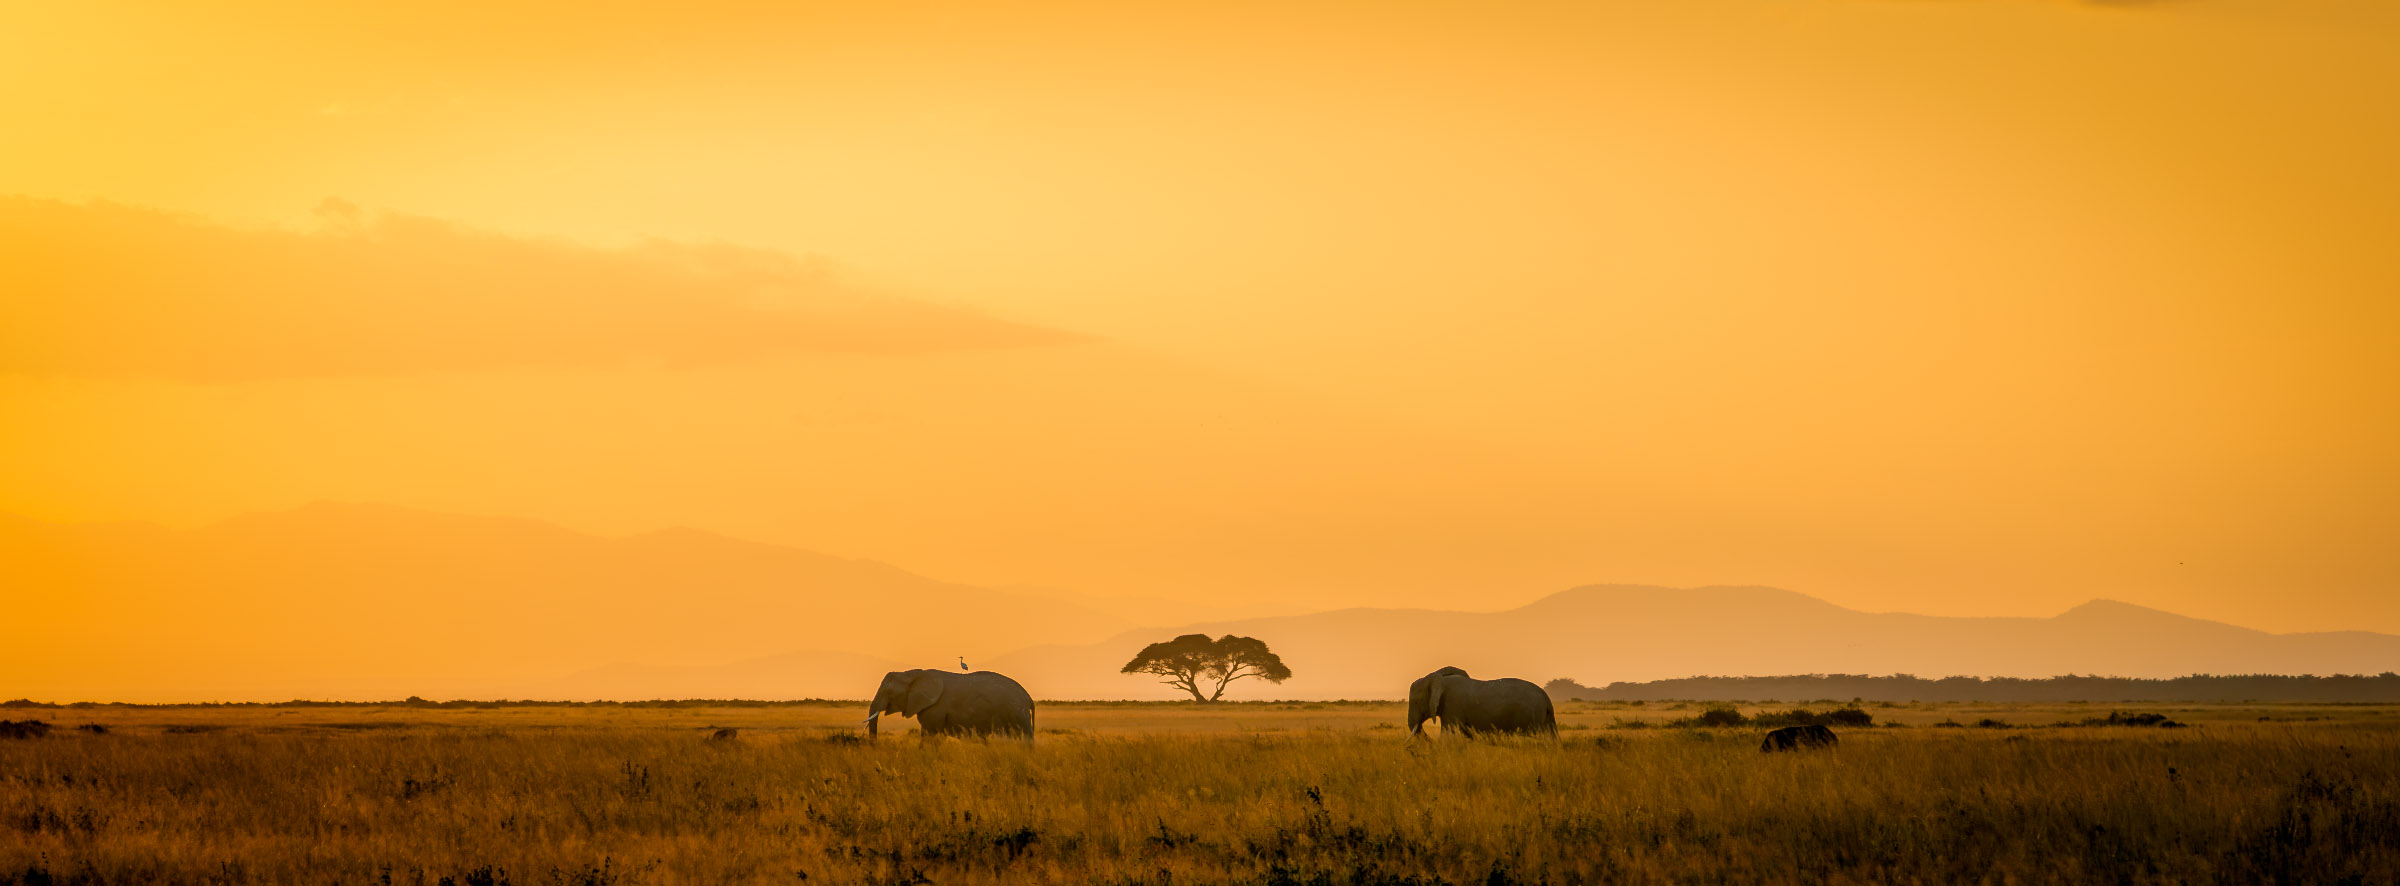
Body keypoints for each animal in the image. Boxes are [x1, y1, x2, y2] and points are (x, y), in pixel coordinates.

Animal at [864, 669, 1035, 741]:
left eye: (888, 692)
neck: (912, 674)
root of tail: (1028, 698)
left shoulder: (935, 708)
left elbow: (929, 735)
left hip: (1017, 715)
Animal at [1407, 666, 1556, 738]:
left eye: (1416, 702)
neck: (1439, 680)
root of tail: (1546, 697)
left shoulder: (1452, 706)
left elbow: (1448, 733)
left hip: (1528, 715)